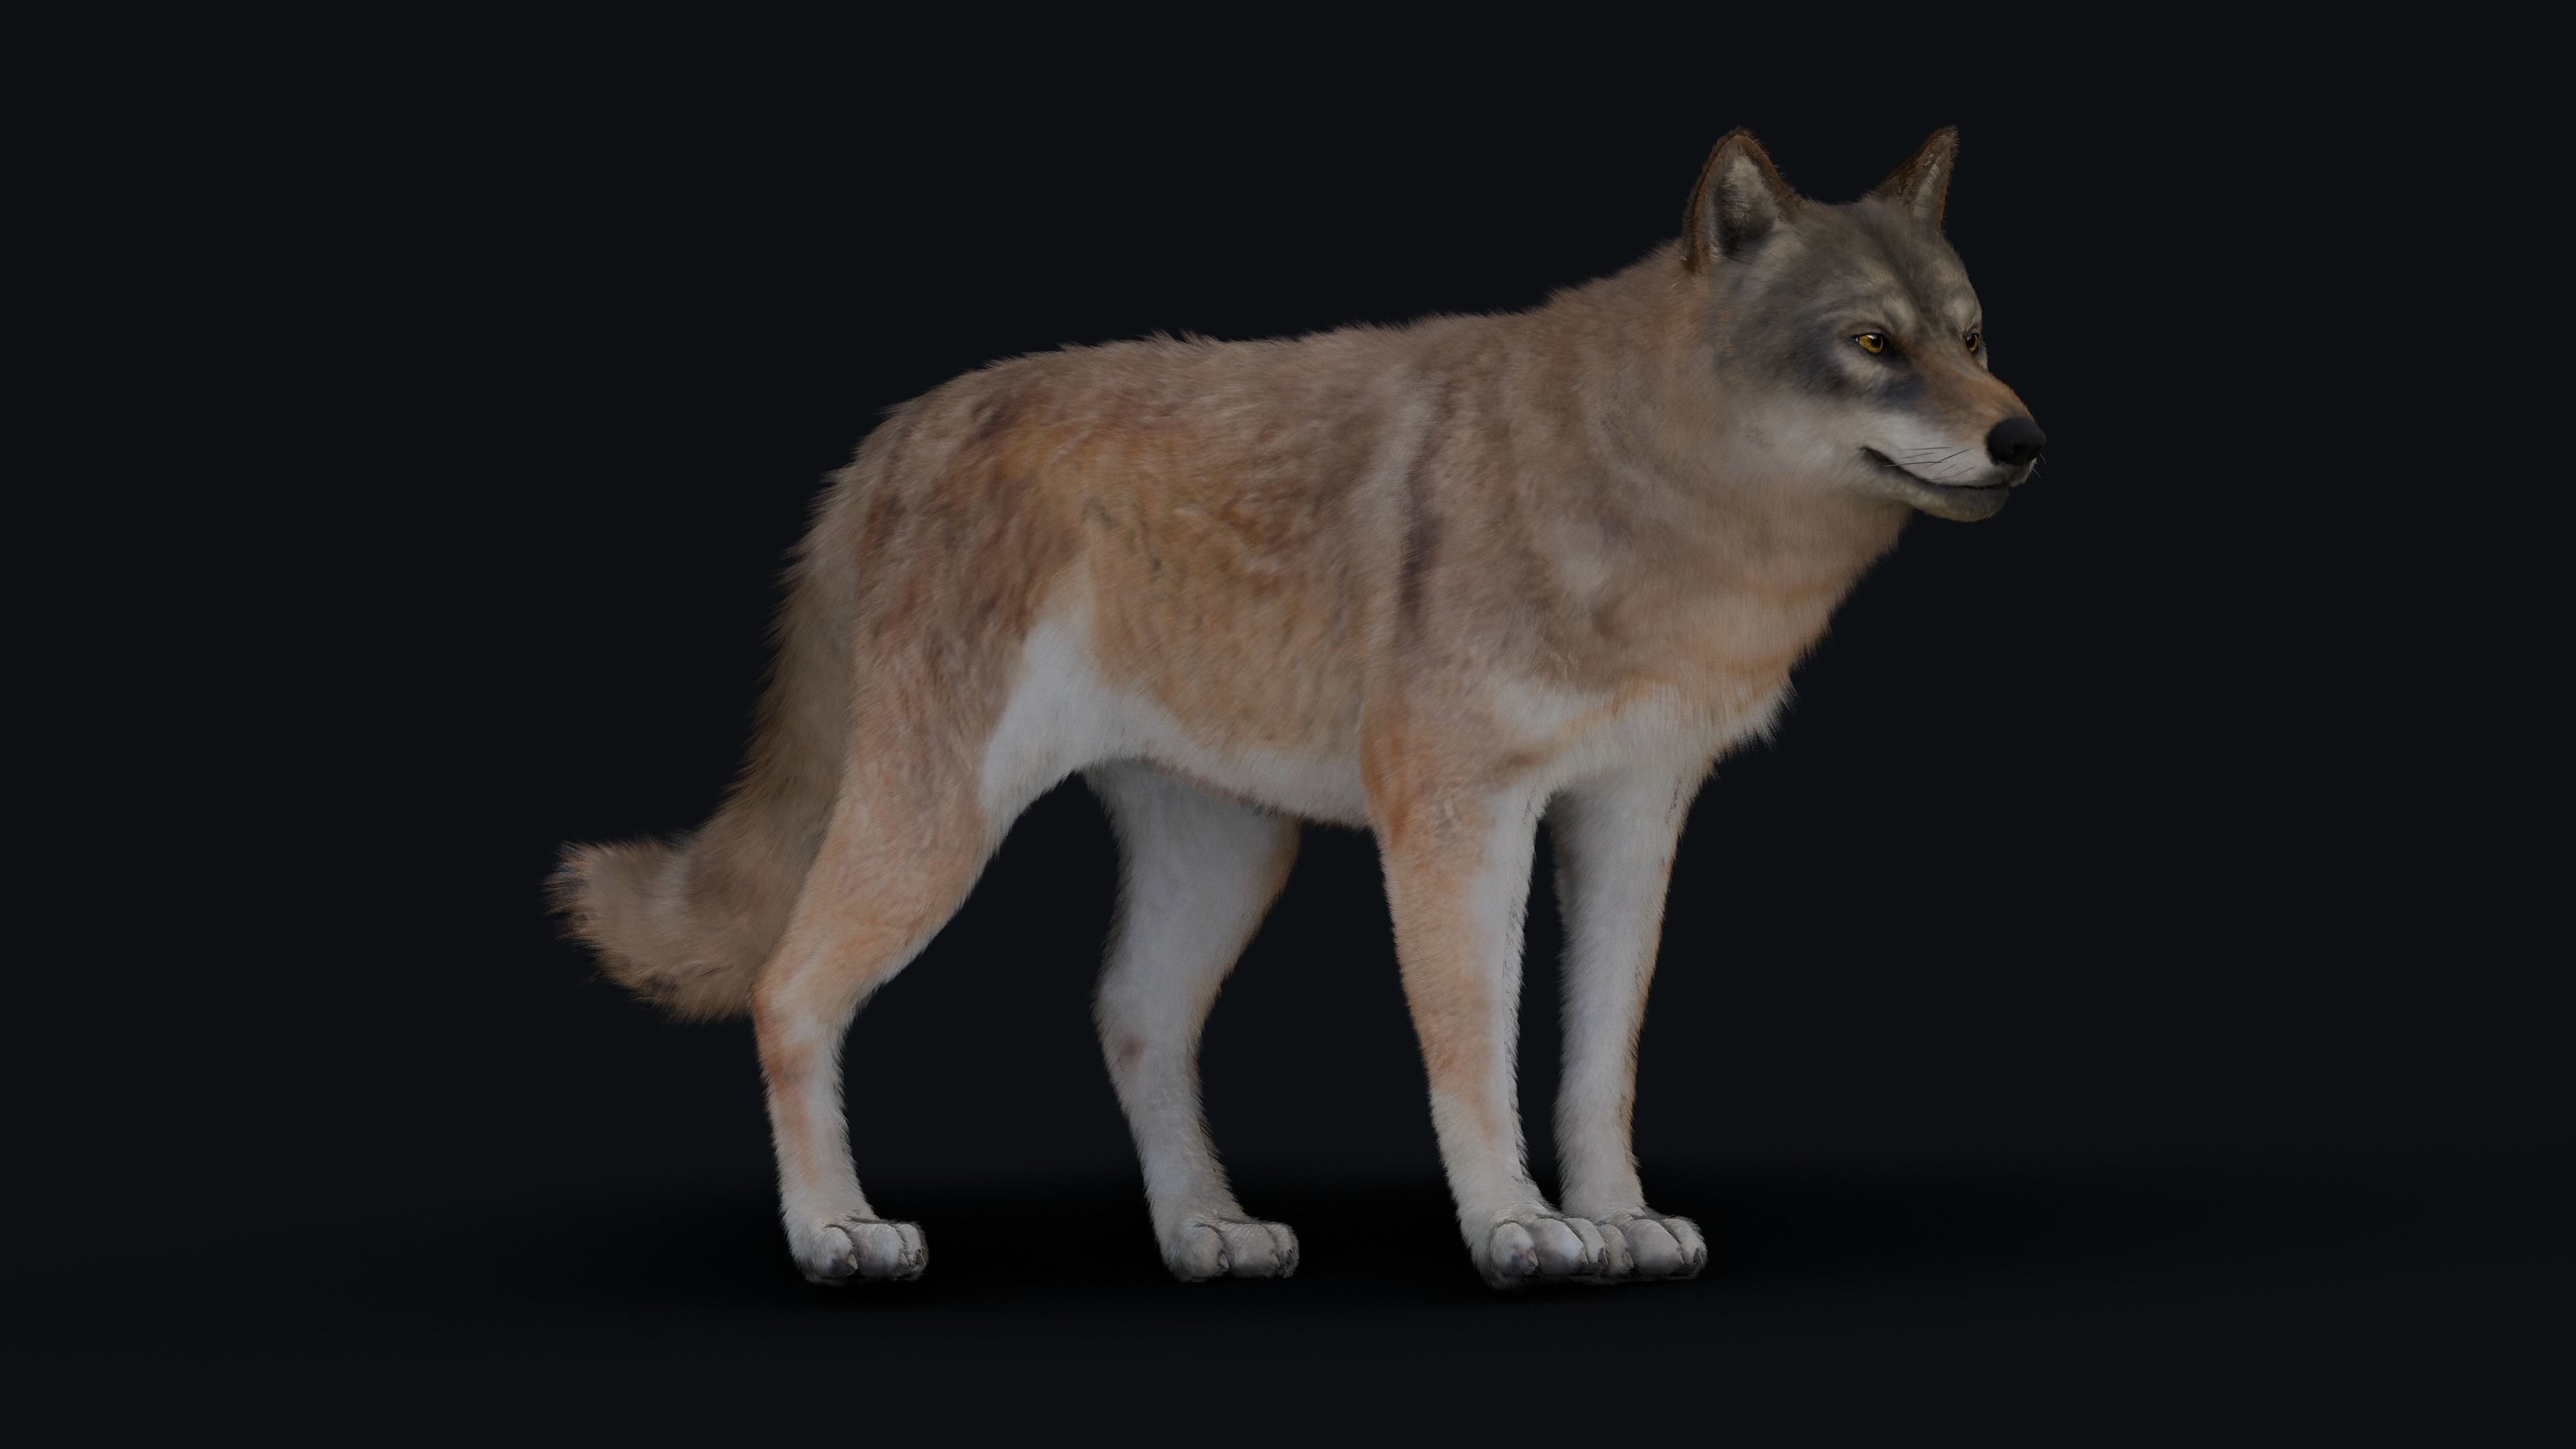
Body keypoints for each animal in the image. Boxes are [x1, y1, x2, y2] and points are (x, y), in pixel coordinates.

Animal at [554, 127, 2045, 1288]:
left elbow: (1600, 1059)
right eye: (1872, 342)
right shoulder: (1458, 819)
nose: (2025, 440)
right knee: (790, 990)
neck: (1646, 496)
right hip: (939, 833)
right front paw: (1517, 1230)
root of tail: (893, 435)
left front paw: (1618, 1222)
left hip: (1227, 858)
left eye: (1974, 338)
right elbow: (1476, 1047)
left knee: (1129, 1014)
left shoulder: (1632, 814)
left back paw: (1205, 1231)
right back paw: (837, 1233)